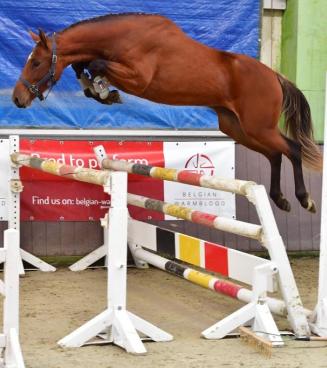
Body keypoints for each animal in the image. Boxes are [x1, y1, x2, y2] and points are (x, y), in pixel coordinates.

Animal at [11, 13, 322, 213]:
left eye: (36, 63)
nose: (17, 98)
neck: (124, 37)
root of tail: (275, 76)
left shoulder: (138, 78)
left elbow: (96, 64)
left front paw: (103, 90)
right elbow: (84, 64)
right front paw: (100, 91)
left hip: (257, 127)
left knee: (292, 148)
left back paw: (304, 199)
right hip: (238, 128)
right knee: (275, 154)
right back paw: (279, 199)